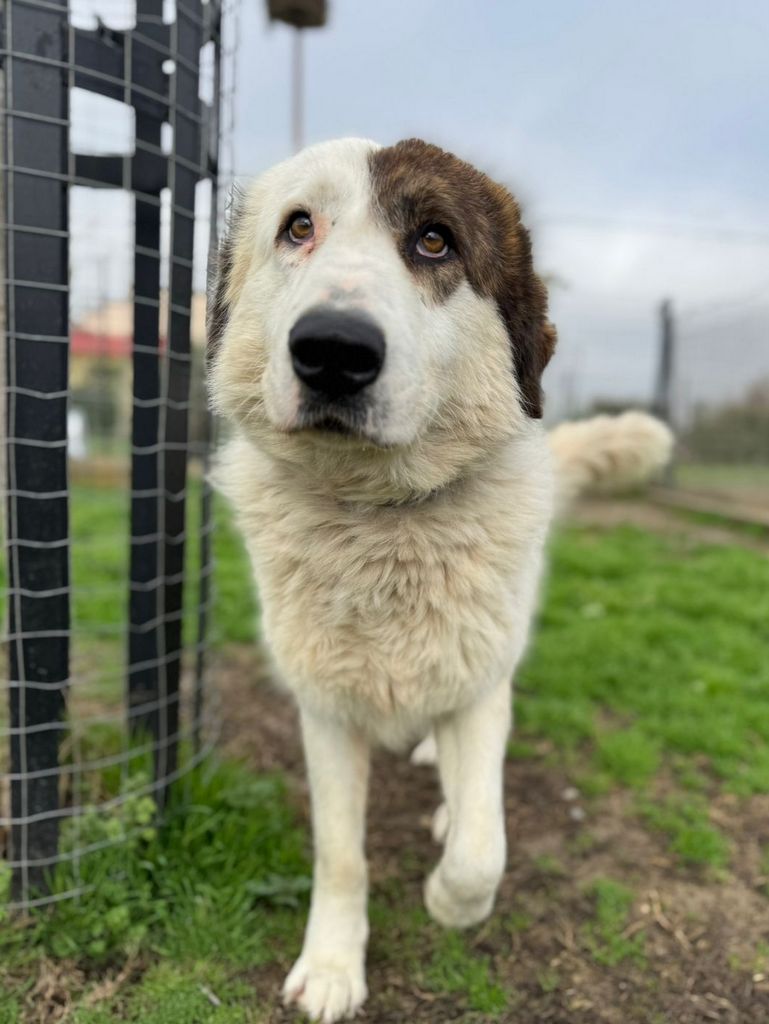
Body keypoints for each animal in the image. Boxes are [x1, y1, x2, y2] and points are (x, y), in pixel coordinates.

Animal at [207, 137, 672, 1023]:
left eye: (434, 241)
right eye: (298, 228)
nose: (333, 350)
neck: (382, 519)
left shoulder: (480, 688)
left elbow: (480, 850)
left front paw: (447, 901)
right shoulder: (324, 712)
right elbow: (340, 854)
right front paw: (332, 966)